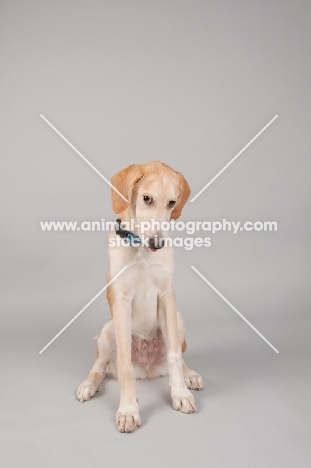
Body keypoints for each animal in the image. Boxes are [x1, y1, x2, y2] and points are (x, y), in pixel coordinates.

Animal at [77, 161, 204, 432]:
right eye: (146, 199)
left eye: (172, 203)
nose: (157, 243)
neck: (142, 252)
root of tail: (147, 369)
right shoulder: (121, 301)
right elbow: (124, 366)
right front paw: (128, 410)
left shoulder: (167, 297)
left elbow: (174, 356)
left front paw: (180, 393)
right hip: (108, 330)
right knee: (100, 367)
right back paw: (89, 384)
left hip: (178, 319)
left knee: (177, 357)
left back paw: (189, 375)